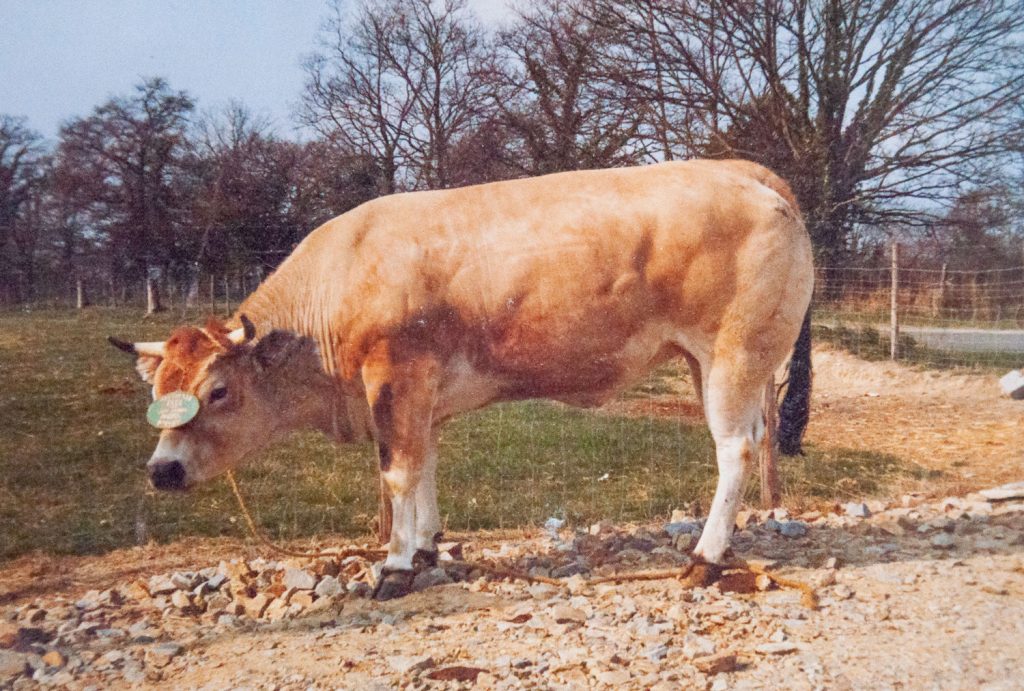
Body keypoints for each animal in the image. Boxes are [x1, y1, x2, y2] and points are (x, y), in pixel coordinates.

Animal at [110, 159, 814, 600]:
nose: (162, 471)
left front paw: (395, 567)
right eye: (156, 393)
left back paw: (705, 558)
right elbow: (423, 468)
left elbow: (397, 472)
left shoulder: (394, 377)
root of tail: (740, 171)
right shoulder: (421, 399)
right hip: (714, 363)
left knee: (735, 450)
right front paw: (424, 549)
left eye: (218, 391)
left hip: (732, 355)